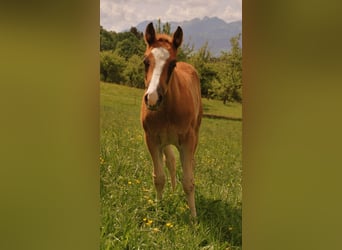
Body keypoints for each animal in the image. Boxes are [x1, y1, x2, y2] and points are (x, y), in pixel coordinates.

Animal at [140, 22, 202, 217]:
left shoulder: (188, 140)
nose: (153, 98)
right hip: (166, 141)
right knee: (172, 161)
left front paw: (193, 218)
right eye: (145, 61)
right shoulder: (152, 139)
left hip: (194, 135)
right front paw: (158, 210)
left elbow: (189, 181)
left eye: (172, 64)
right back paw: (173, 192)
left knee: (187, 163)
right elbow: (159, 177)